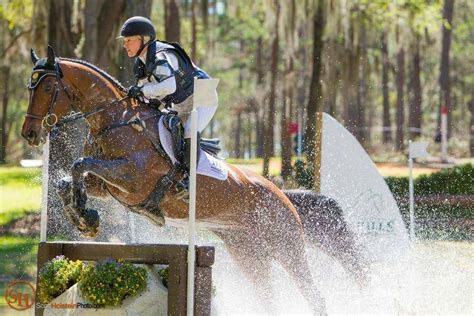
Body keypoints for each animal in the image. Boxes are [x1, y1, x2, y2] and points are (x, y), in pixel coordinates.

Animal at [22, 46, 368, 314]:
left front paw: (85, 218)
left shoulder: (134, 180)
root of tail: (281, 193)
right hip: (247, 253)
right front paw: (83, 216)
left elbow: (80, 164)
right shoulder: (112, 187)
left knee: (313, 293)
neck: (115, 120)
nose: (30, 134)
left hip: (286, 247)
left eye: (47, 89)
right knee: (268, 296)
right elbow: (69, 179)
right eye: (30, 88)